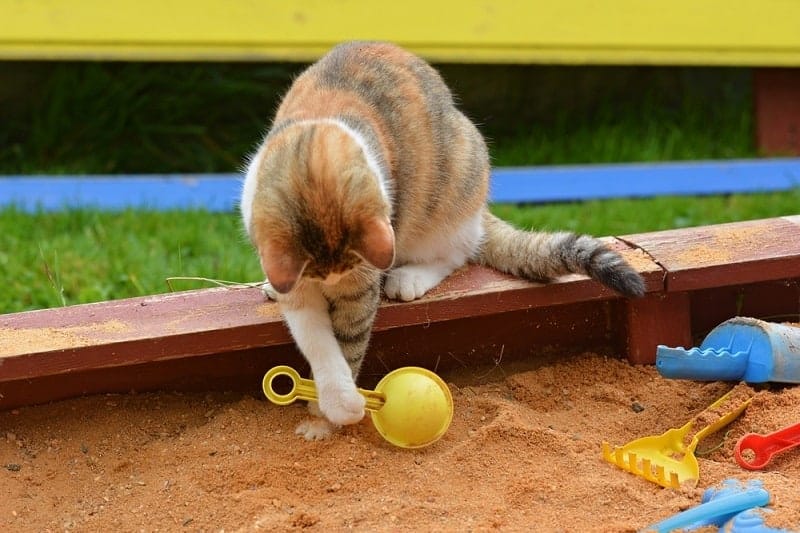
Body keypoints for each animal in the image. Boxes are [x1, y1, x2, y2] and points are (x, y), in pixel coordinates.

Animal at [241, 40, 648, 440]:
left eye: (348, 279)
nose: (333, 285)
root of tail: (479, 210)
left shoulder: (363, 279)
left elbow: (349, 341)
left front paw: (332, 414)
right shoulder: (297, 278)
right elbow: (316, 338)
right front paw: (330, 401)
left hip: (447, 198)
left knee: (456, 253)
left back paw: (410, 277)